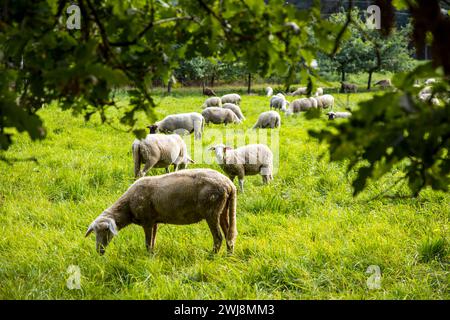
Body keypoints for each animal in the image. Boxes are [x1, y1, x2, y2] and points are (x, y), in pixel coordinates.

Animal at [85, 168, 239, 255]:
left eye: (106, 230)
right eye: (94, 232)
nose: (99, 251)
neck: (127, 206)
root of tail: (229, 184)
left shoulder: (147, 221)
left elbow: (148, 243)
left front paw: (148, 257)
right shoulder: (154, 221)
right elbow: (152, 241)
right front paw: (152, 255)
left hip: (211, 211)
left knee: (218, 237)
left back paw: (211, 256)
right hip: (224, 210)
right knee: (229, 235)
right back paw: (229, 255)